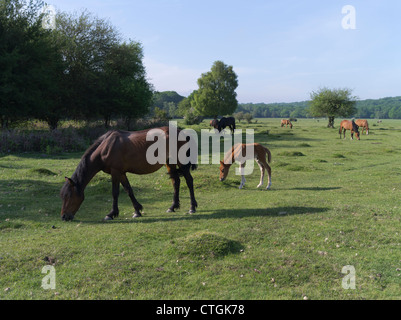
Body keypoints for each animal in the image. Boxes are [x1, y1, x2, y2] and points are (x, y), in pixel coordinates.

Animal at [59, 126, 197, 221]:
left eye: (69, 196)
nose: (64, 217)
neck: (106, 147)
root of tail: (181, 131)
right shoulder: (121, 173)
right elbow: (128, 190)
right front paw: (137, 211)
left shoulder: (115, 172)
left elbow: (115, 193)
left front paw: (111, 214)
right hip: (170, 163)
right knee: (176, 182)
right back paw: (173, 207)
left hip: (181, 162)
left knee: (189, 181)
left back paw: (192, 207)